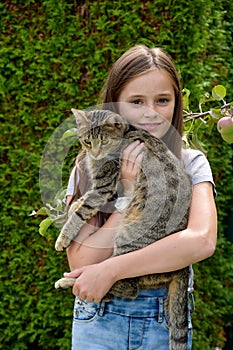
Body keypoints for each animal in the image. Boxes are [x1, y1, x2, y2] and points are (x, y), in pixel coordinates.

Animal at [55, 108, 193, 348]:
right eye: (87, 141)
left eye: (104, 140)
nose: (95, 153)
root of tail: (182, 268)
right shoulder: (98, 187)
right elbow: (80, 203)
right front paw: (71, 207)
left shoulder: (104, 188)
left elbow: (83, 209)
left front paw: (63, 237)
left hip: (126, 240)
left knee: (124, 286)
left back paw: (70, 281)